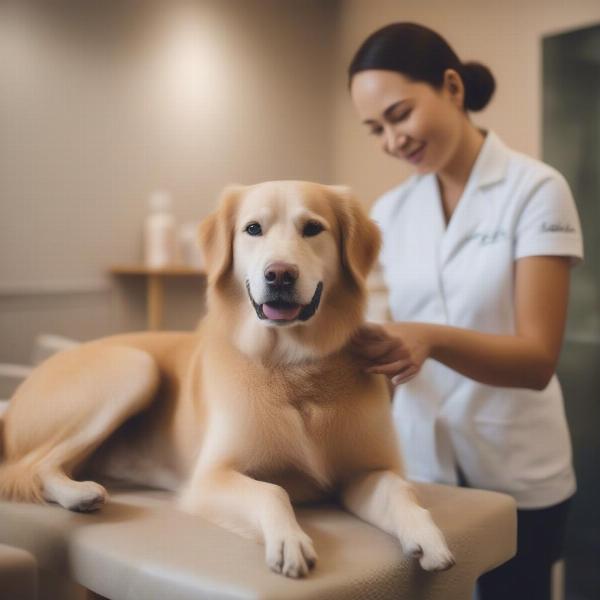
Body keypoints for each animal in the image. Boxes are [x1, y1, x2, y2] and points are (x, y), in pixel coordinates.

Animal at [0, 182, 452, 576]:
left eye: (313, 228)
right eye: (253, 229)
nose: (280, 274)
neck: (293, 365)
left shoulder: (364, 472)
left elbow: (400, 491)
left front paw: (427, 536)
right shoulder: (210, 478)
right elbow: (273, 490)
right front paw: (288, 540)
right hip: (133, 367)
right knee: (31, 467)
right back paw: (79, 494)